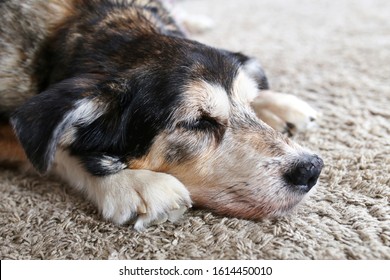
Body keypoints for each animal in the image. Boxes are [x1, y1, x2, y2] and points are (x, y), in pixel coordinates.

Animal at [0, 0, 322, 230]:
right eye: (198, 123)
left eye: (249, 105)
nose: (312, 169)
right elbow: (51, 148)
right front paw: (131, 183)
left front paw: (274, 101)